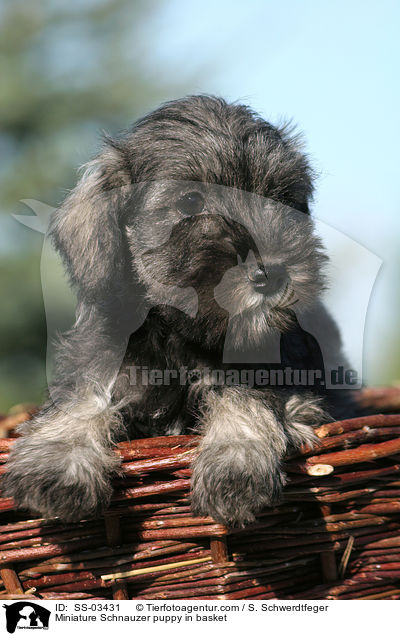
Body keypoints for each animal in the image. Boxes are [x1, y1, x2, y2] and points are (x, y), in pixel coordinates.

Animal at [2, 94, 354, 528]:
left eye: (280, 197)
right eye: (190, 201)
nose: (270, 274)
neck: (180, 335)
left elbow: (246, 395)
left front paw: (235, 469)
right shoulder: (102, 356)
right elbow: (84, 395)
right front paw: (56, 464)